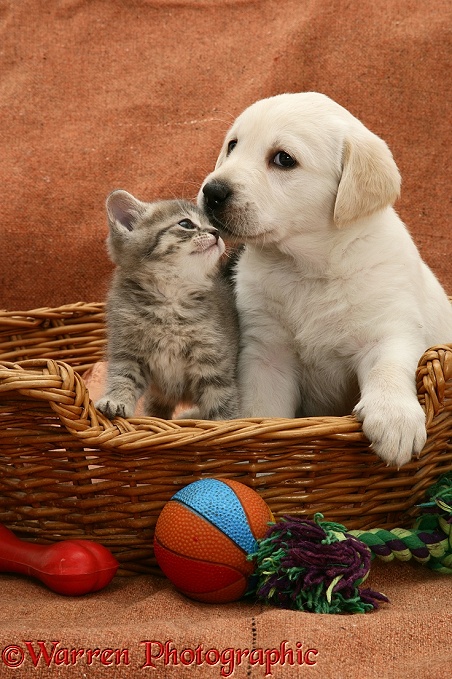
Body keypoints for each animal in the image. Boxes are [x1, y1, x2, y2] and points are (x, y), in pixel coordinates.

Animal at [95, 186, 240, 420]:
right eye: (186, 224)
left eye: (213, 225)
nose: (216, 233)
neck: (171, 299)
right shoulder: (127, 351)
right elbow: (123, 377)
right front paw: (116, 400)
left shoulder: (214, 361)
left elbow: (222, 400)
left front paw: (228, 423)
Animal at [198, 93, 452, 470]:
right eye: (233, 145)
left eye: (284, 159)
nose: (212, 192)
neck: (306, 269)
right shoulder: (266, 354)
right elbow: (262, 410)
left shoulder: (390, 330)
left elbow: (388, 368)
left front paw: (395, 419)